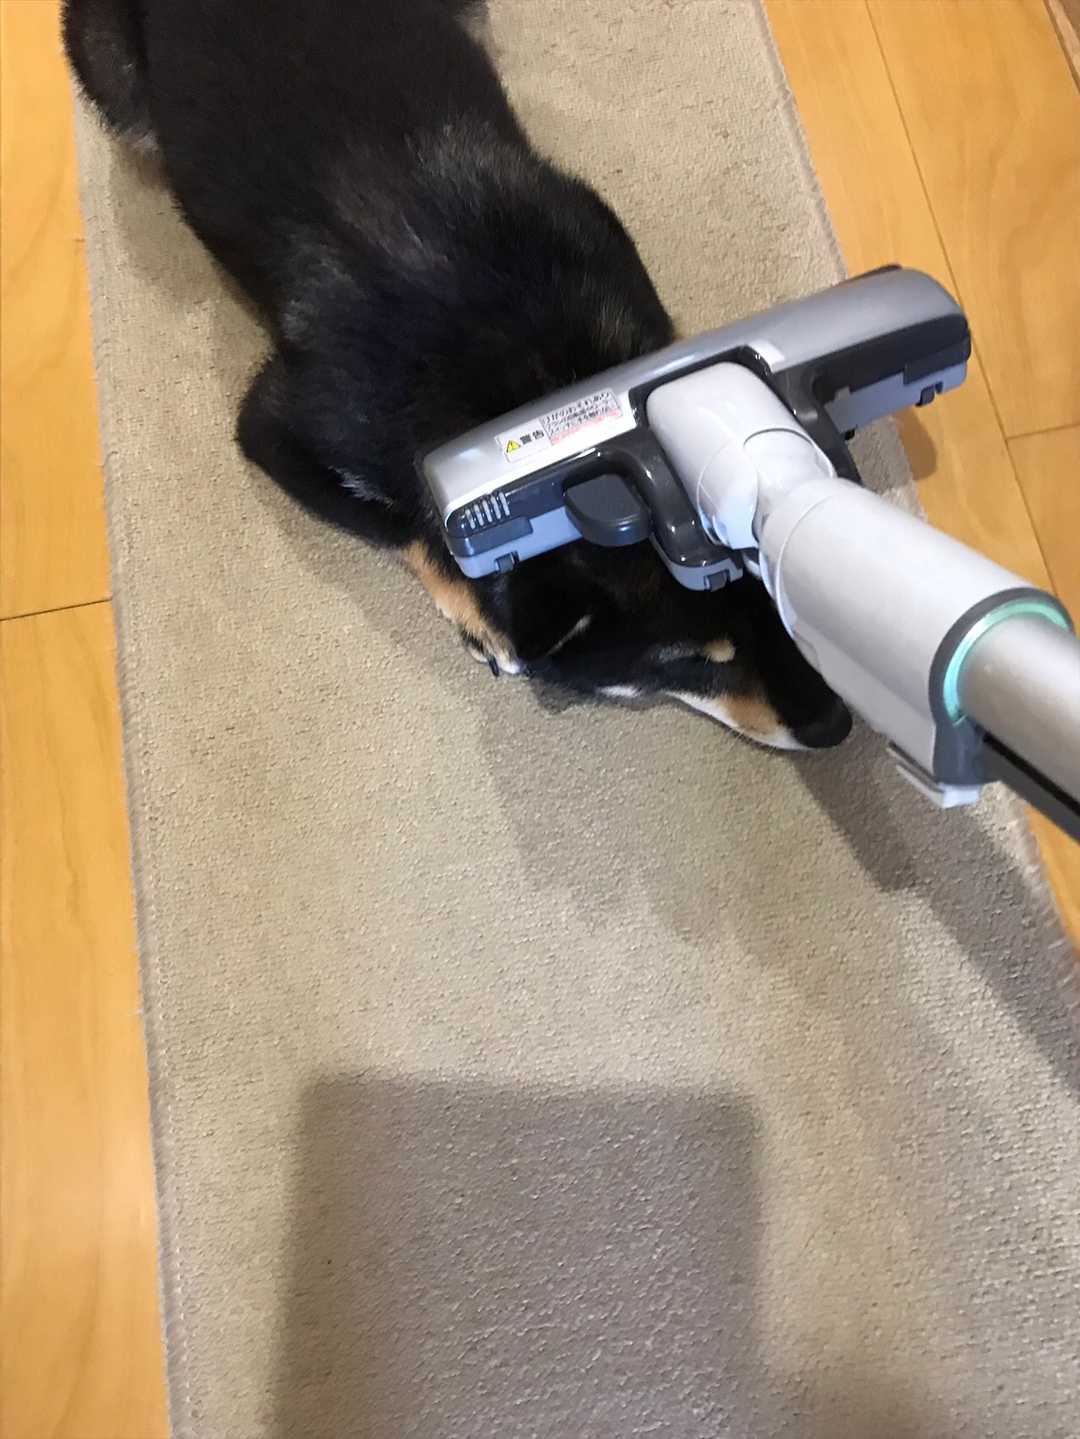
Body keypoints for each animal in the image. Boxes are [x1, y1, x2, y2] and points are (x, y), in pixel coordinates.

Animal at [64, 0, 852, 750]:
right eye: (689, 661)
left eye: (776, 587)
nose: (836, 727)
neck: (538, 377)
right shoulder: (277, 425)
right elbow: (406, 530)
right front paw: (480, 617)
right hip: (106, 64)